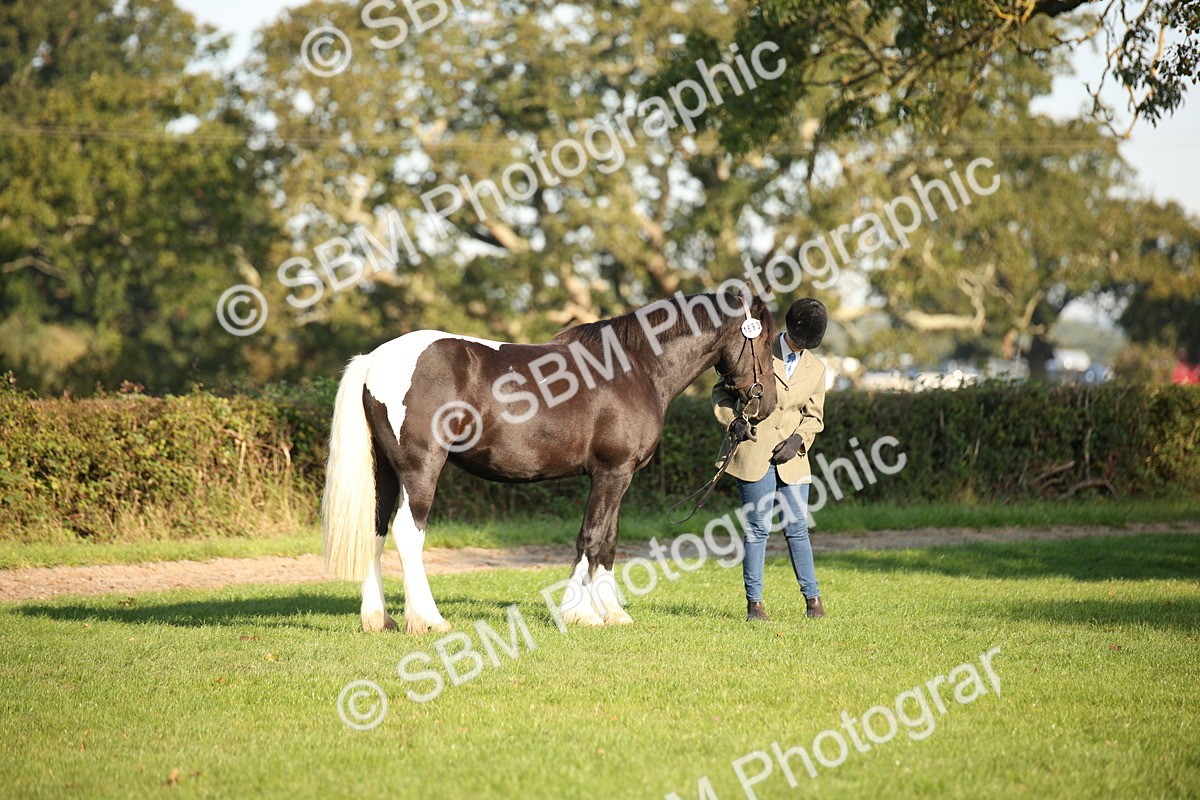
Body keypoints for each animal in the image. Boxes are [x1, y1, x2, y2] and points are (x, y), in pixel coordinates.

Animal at [321, 290, 778, 633]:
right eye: (764, 341)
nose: (769, 404)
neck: (637, 366)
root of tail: (374, 360)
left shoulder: (619, 478)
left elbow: (609, 540)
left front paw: (614, 612)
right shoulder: (611, 473)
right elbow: (590, 538)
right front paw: (580, 613)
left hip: (385, 470)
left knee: (376, 530)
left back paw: (378, 619)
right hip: (421, 470)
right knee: (407, 532)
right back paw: (430, 620)